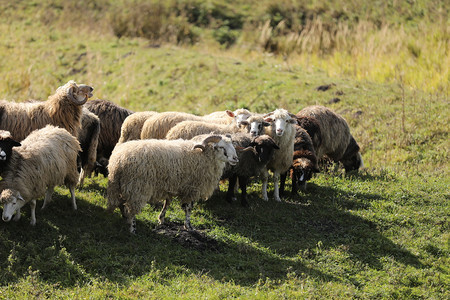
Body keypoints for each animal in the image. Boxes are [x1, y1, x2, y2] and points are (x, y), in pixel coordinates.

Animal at [106, 134, 239, 234]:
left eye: (232, 145)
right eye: (220, 147)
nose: (236, 159)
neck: (203, 155)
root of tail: (119, 161)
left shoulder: (172, 185)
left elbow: (168, 202)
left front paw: (161, 219)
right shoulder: (191, 188)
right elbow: (188, 208)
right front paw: (189, 226)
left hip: (120, 186)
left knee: (122, 204)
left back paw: (126, 220)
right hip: (137, 187)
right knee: (132, 209)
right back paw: (132, 229)